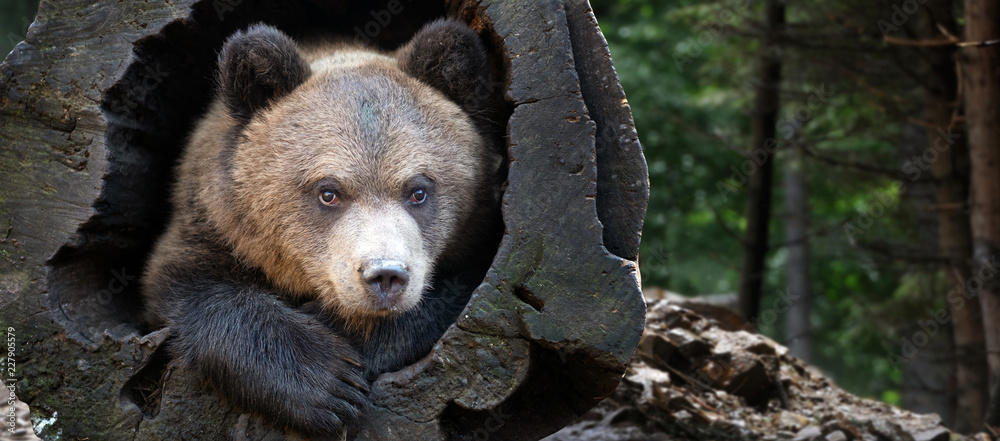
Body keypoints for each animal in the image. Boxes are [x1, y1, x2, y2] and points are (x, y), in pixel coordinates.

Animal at [138, 18, 504, 434]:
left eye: (418, 190)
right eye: (328, 192)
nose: (385, 275)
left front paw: (348, 333)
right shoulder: (211, 227)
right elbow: (188, 285)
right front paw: (328, 383)